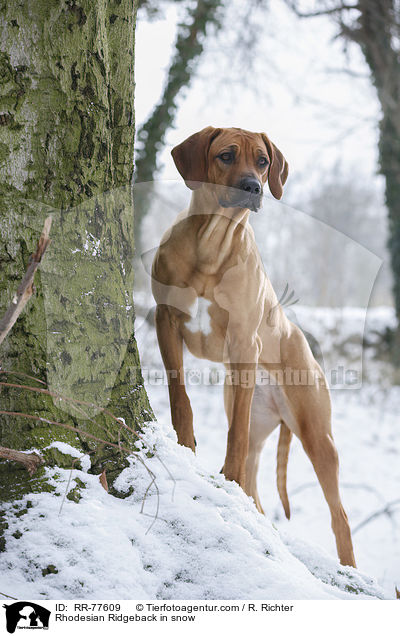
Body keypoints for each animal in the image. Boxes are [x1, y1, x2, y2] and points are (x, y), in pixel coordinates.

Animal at [151, 125, 356, 568]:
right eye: (226, 155)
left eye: (262, 161)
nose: (253, 187)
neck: (212, 244)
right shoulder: (164, 320)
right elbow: (179, 393)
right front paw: (185, 441)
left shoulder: (245, 341)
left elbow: (235, 435)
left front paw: (226, 474)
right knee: (257, 488)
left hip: (317, 433)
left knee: (340, 517)